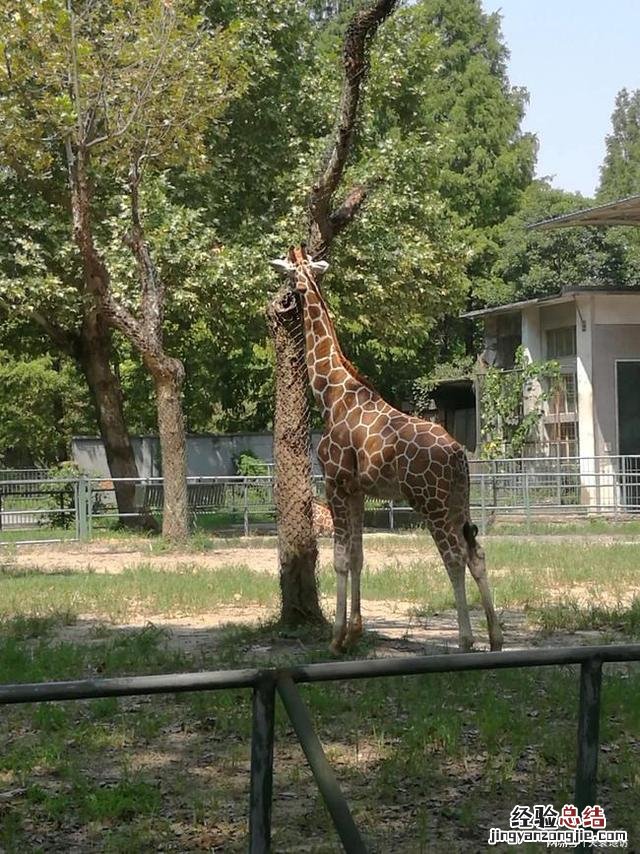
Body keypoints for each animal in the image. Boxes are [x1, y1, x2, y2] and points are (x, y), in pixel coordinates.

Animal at [270, 247, 504, 656]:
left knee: (454, 556)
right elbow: (359, 556)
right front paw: (354, 632)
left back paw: (465, 639)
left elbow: (340, 559)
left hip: (429, 501)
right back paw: (494, 638)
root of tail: (459, 455)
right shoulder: (358, 490)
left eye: (287, 270)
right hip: (458, 500)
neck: (331, 394)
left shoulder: (335, 482)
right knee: (476, 553)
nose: (283, 296)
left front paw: (336, 639)